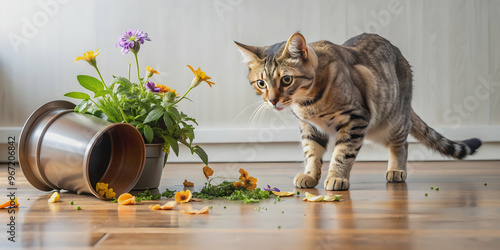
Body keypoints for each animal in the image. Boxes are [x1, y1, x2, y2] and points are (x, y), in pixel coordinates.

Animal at [236, 32, 482, 190]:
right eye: (261, 83)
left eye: (286, 80)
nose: (272, 100)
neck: (306, 105)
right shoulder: (309, 128)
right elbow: (311, 152)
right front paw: (310, 175)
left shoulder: (355, 119)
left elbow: (342, 153)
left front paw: (337, 178)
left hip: (391, 122)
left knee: (402, 144)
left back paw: (396, 170)